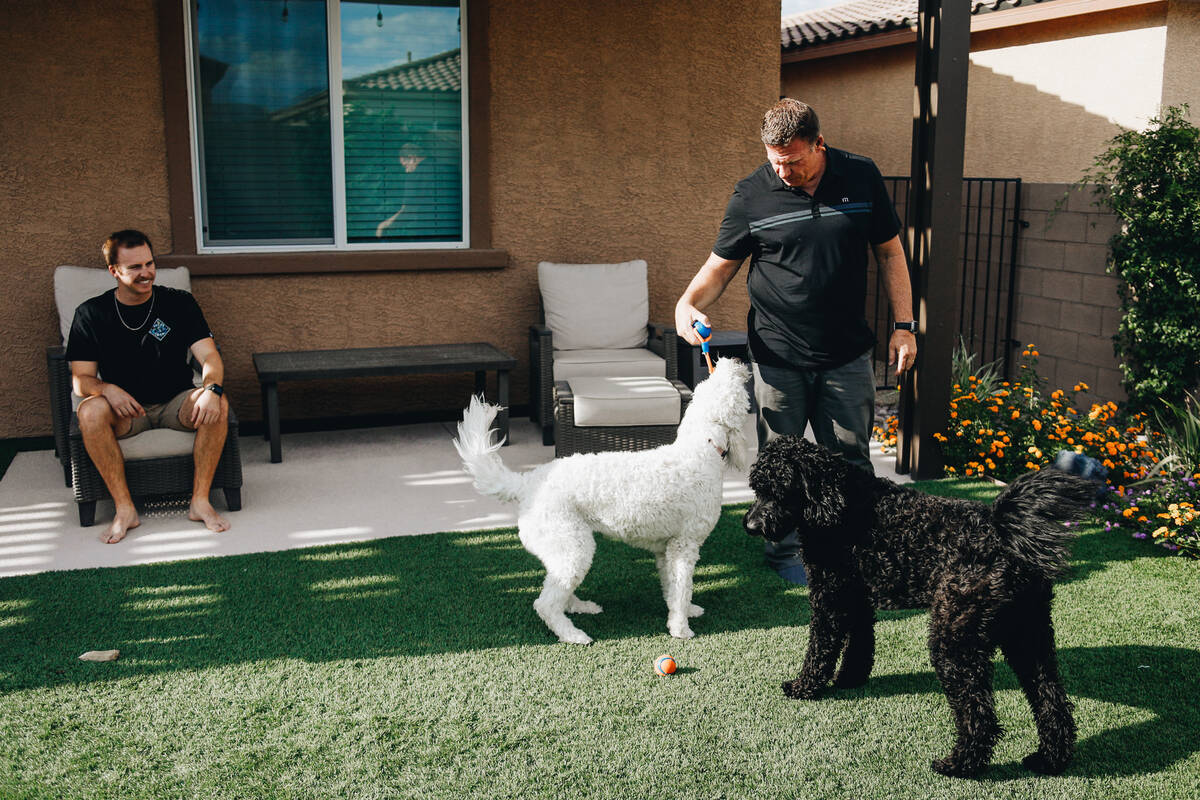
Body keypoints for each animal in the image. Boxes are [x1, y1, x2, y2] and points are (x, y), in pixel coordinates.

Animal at [451, 359, 748, 647]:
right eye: (730, 385)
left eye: (708, 380)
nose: (733, 359)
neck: (700, 448)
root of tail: (527, 483)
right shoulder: (684, 547)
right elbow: (683, 586)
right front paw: (681, 629)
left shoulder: (667, 550)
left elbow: (673, 588)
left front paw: (686, 611)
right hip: (573, 546)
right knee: (546, 604)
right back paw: (573, 635)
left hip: (563, 549)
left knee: (558, 587)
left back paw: (580, 607)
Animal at [744, 434, 1099, 777]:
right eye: (757, 488)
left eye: (779, 490)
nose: (750, 526)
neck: (836, 501)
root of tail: (1003, 533)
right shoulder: (857, 596)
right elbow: (859, 642)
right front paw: (850, 679)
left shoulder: (829, 596)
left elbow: (820, 648)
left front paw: (804, 686)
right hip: (1027, 635)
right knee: (1051, 700)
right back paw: (1050, 759)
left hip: (954, 640)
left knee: (978, 712)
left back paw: (961, 765)